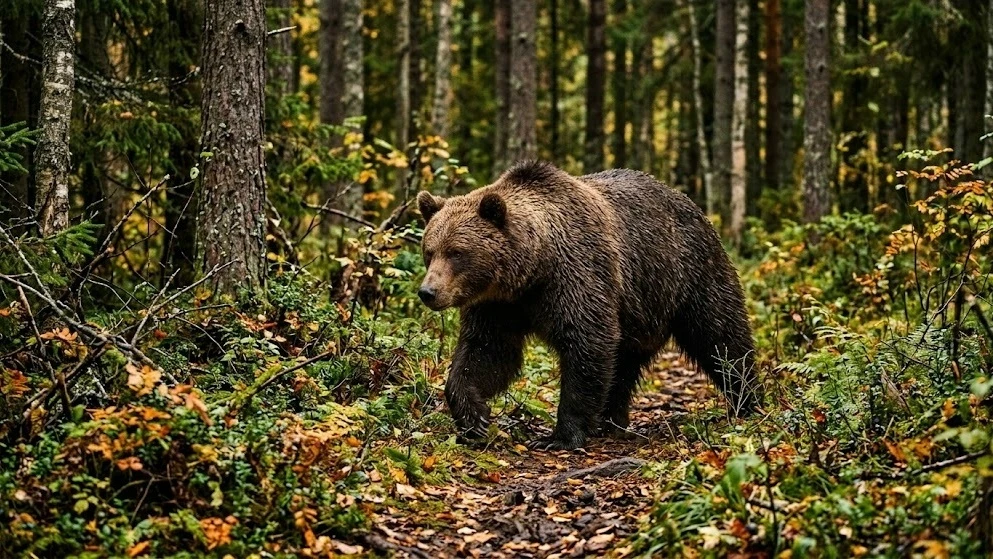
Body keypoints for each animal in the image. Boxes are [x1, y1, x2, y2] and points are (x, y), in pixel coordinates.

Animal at [416, 161, 759, 450]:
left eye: (457, 252)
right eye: (430, 251)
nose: (428, 292)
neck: (532, 271)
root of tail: (691, 204)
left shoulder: (577, 274)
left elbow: (586, 342)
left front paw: (561, 436)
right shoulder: (499, 305)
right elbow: (487, 353)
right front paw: (474, 418)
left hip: (688, 271)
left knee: (721, 337)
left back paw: (747, 402)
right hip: (639, 310)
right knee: (624, 364)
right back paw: (611, 419)